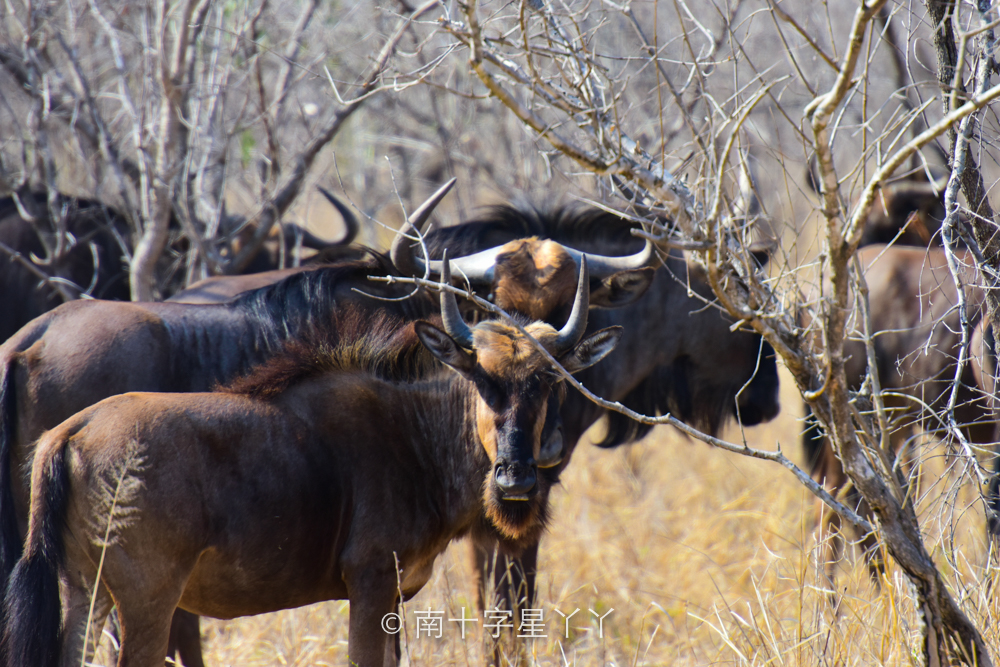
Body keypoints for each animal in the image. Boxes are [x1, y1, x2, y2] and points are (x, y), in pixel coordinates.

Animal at [1, 258, 624, 667]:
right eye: (482, 378)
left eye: (548, 380)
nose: (517, 479)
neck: (413, 431)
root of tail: (71, 433)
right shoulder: (370, 585)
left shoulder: (393, 598)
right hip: (146, 603)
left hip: (86, 593)